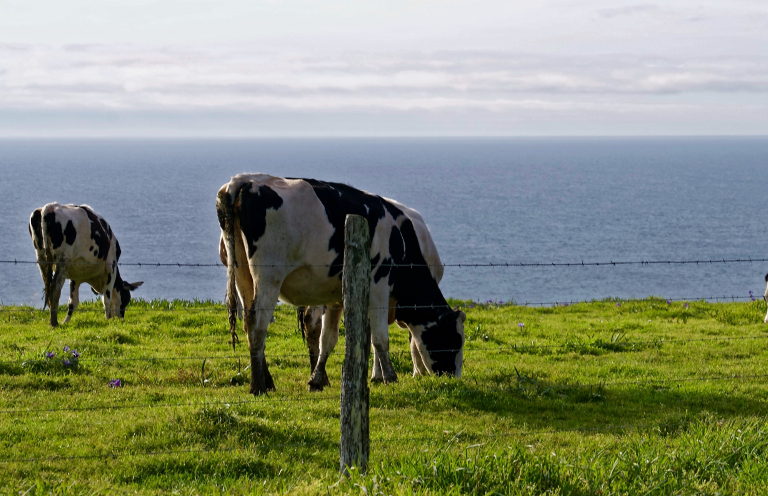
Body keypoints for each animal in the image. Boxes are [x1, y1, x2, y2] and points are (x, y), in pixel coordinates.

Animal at [216, 173, 465, 395]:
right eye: (455, 340)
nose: (453, 377)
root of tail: (243, 180)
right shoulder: (379, 285)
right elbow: (380, 337)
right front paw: (390, 377)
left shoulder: (337, 298)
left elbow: (330, 339)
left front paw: (317, 380)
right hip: (269, 275)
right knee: (258, 324)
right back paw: (258, 386)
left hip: (242, 273)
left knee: (248, 322)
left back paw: (266, 381)